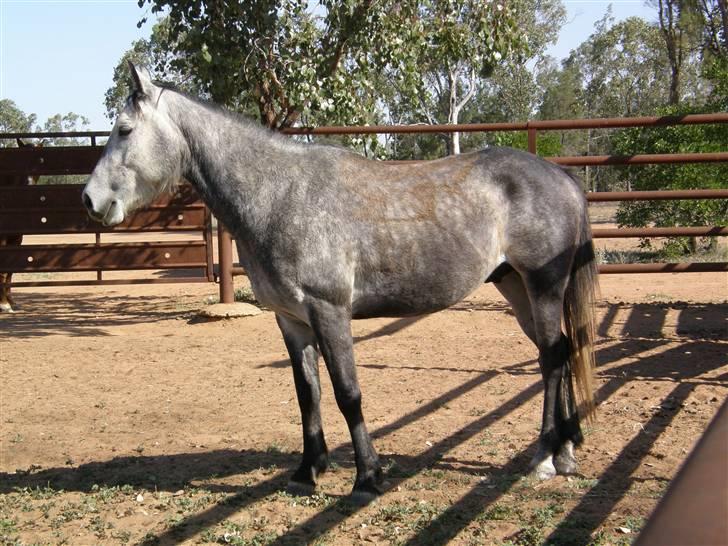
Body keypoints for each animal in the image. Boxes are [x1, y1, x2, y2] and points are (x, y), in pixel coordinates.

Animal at [83, 63, 599, 502]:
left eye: (124, 130)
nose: (90, 200)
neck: (280, 194)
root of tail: (562, 176)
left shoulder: (330, 312)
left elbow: (347, 393)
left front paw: (367, 477)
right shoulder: (291, 321)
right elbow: (306, 394)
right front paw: (307, 470)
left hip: (543, 285)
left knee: (553, 358)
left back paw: (545, 458)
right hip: (516, 287)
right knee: (559, 349)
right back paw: (567, 449)